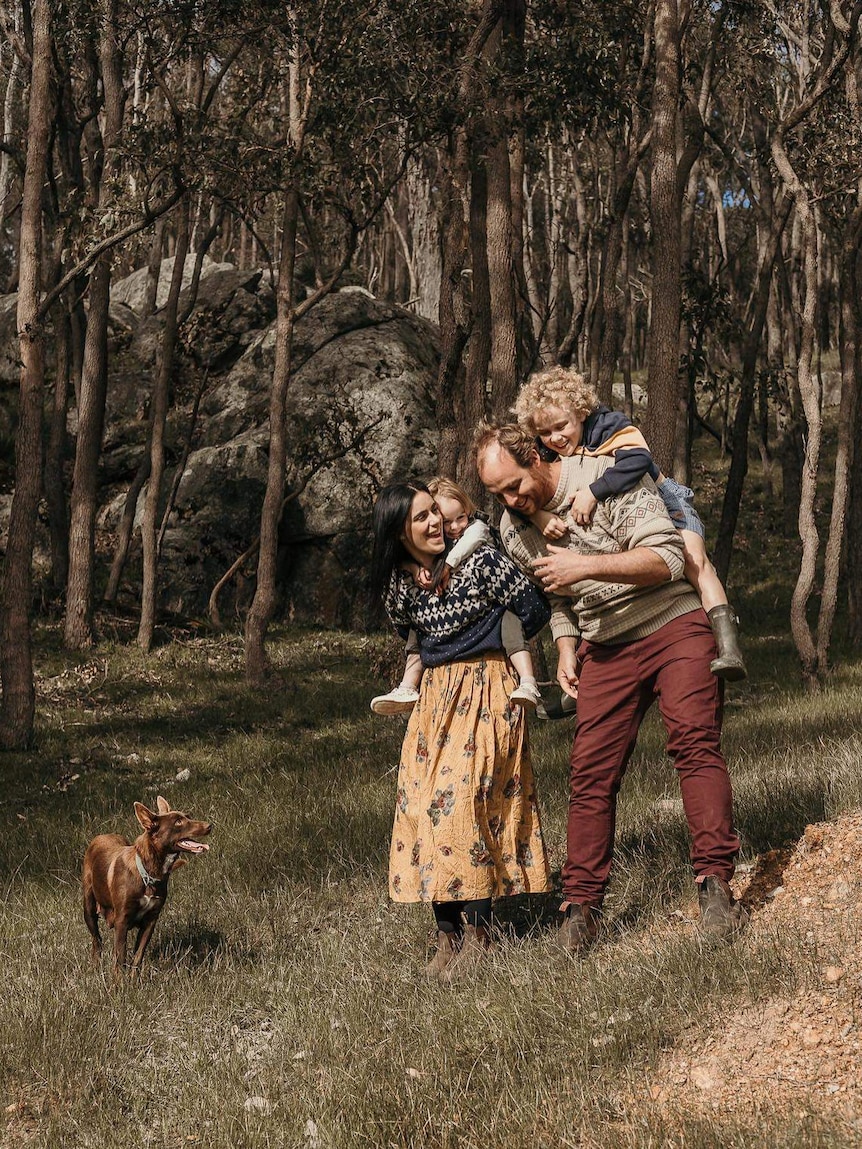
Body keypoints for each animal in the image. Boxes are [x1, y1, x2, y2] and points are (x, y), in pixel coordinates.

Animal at [83, 795, 212, 974]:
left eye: (188, 816)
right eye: (178, 822)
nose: (209, 826)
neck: (149, 874)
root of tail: (101, 836)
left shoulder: (151, 920)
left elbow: (138, 956)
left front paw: (133, 978)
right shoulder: (122, 920)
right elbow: (120, 958)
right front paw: (119, 981)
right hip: (88, 906)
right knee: (97, 940)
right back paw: (95, 967)